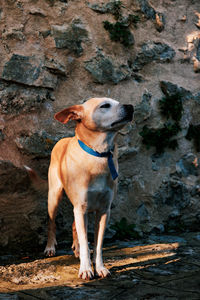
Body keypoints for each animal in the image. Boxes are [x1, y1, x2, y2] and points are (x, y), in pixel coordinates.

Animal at [40, 98, 133, 278]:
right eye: (105, 105)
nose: (131, 107)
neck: (98, 154)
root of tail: (64, 139)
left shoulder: (103, 210)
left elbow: (97, 244)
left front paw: (100, 267)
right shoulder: (81, 207)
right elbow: (85, 242)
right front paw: (85, 269)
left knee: (74, 226)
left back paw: (75, 249)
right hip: (54, 197)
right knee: (52, 223)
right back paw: (50, 247)